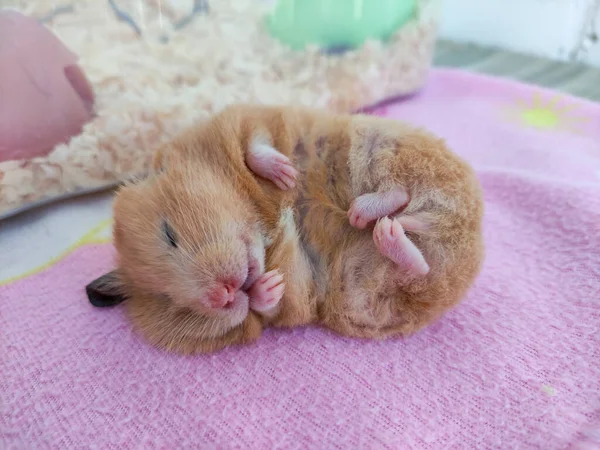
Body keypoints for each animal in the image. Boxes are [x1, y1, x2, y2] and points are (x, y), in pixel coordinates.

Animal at [86, 103, 486, 354]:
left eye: (169, 234)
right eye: (171, 302)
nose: (223, 294)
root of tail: (470, 243)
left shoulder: (243, 119)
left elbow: (255, 146)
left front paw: (283, 173)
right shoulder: (297, 297)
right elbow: (270, 306)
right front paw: (265, 288)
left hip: (383, 143)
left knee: (403, 190)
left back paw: (367, 211)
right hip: (369, 295)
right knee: (417, 266)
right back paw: (383, 230)